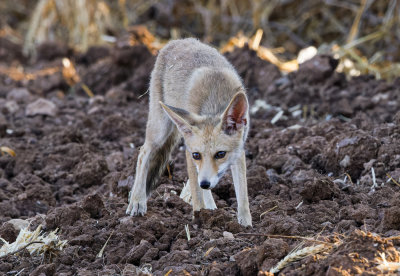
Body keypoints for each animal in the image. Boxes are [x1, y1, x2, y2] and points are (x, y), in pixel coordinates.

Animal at [126, 37, 252, 226]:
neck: (214, 104)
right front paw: (198, 219)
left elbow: (242, 196)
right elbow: (196, 192)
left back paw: (211, 206)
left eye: (220, 154)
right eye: (197, 155)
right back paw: (137, 201)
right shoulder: (189, 152)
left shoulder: (239, 152)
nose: (206, 183)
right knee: (143, 153)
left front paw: (246, 224)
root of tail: (176, 41)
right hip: (159, 130)